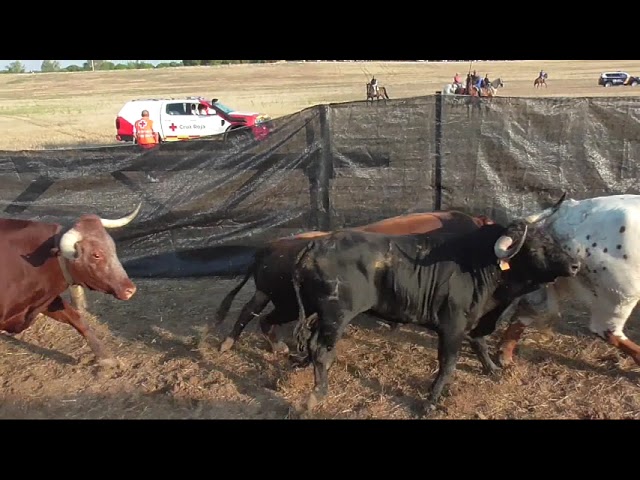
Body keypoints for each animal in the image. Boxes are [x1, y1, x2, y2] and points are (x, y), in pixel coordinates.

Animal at [0, 204, 141, 366]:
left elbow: (76, 318)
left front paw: (104, 357)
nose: (130, 289)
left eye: (112, 248)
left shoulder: (47, 300)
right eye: (96, 255)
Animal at [202, 210, 492, 352]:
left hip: (266, 291)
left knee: (248, 310)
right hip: (280, 298)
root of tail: (269, 247)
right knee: (256, 314)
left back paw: (229, 345)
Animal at [292, 214, 584, 412]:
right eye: (535, 247)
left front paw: (492, 370)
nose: (575, 265)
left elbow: (479, 342)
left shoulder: (475, 321)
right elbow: (448, 363)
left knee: (311, 344)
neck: (478, 264)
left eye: (552, 240)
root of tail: (315, 247)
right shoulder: (451, 326)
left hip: (318, 315)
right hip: (336, 317)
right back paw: (317, 394)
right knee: (322, 350)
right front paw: (431, 401)